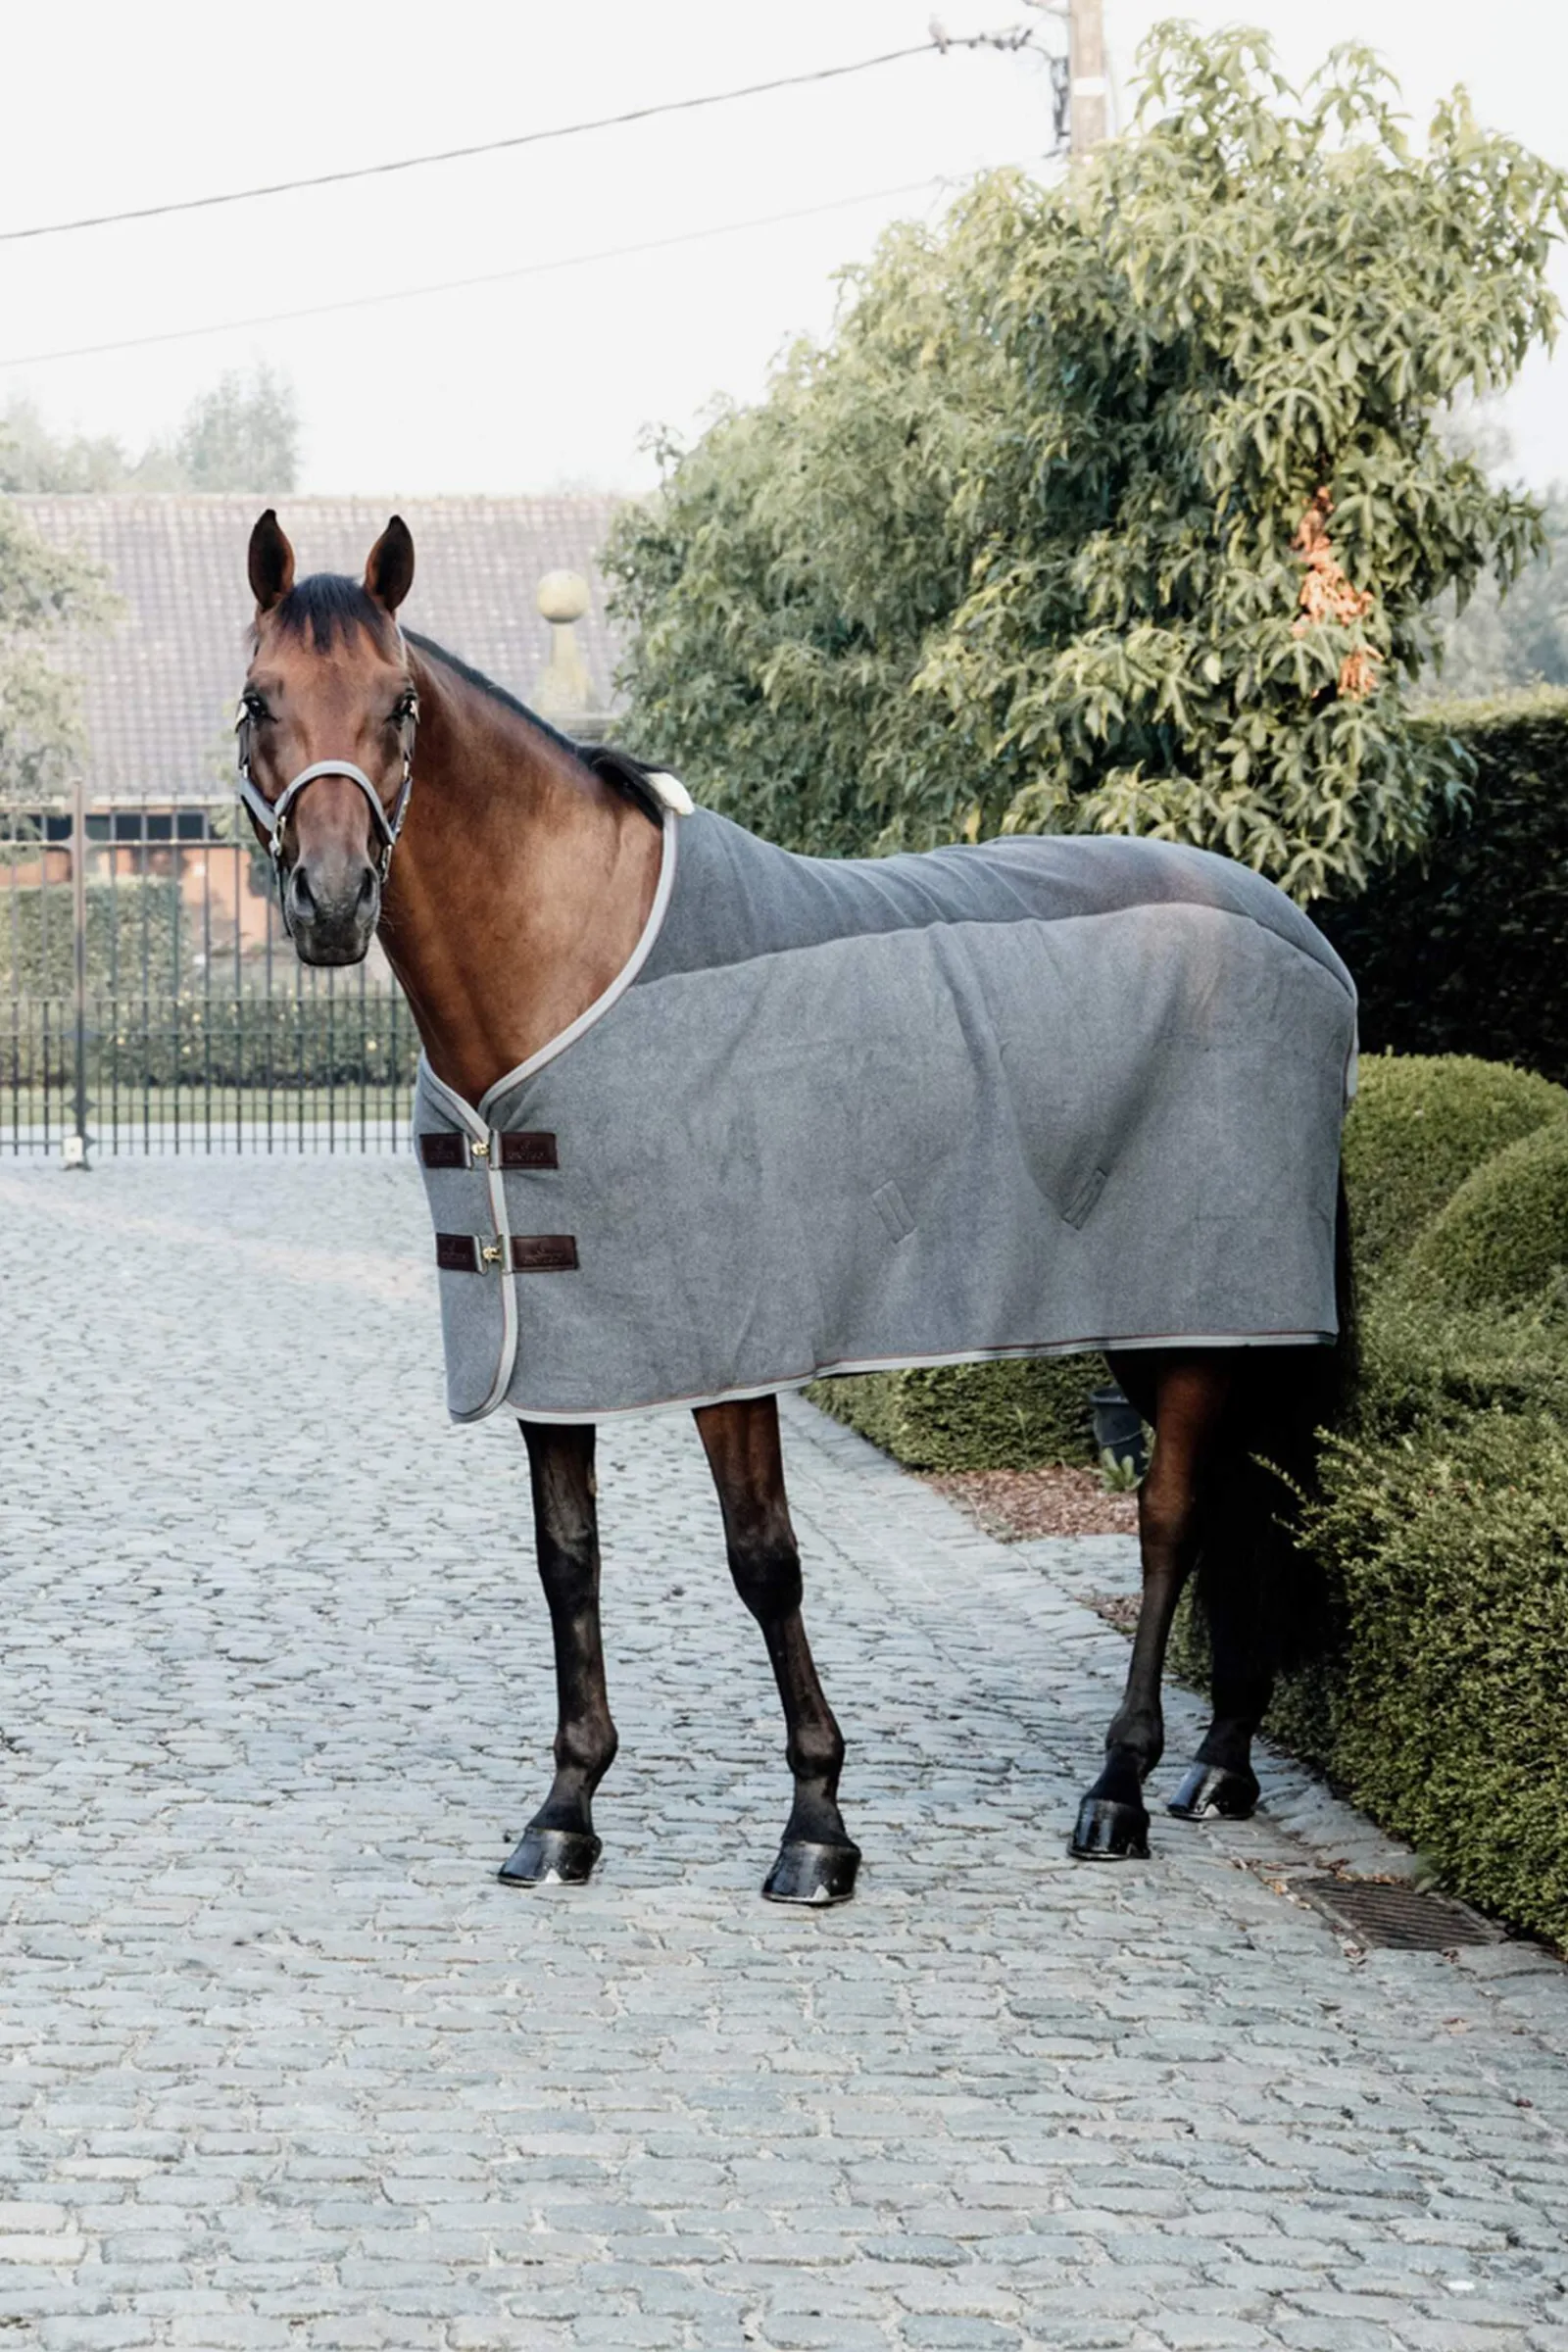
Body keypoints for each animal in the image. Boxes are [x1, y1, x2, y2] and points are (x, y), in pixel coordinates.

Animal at [235, 509, 1357, 1904]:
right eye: (258, 699)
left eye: (398, 704)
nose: (331, 904)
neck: (572, 968)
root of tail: (1300, 934)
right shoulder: (553, 1344)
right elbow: (567, 1562)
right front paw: (564, 1813)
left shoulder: (734, 1350)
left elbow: (763, 1561)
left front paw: (816, 1826)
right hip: (1178, 1314)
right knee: (1244, 1508)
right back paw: (1221, 1764)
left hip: (1197, 1312)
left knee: (1167, 1521)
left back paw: (1119, 1787)